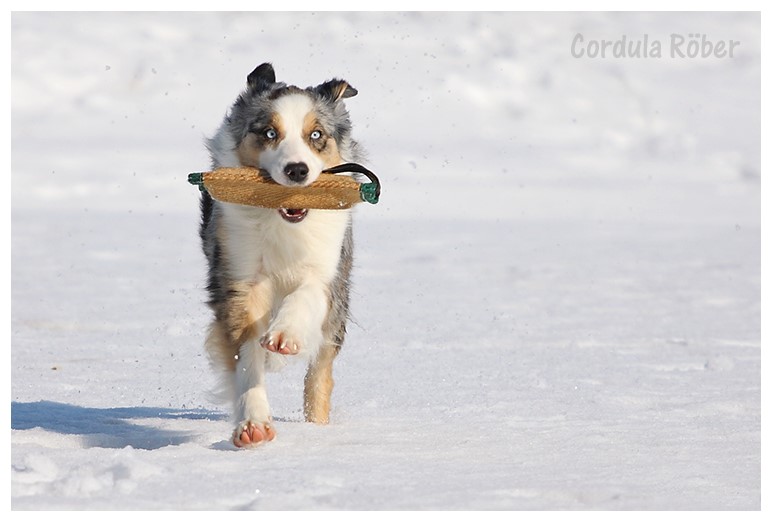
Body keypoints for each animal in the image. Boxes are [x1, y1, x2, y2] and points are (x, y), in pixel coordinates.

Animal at [199, 63, 362, 446]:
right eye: (270, 132)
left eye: (316, 135)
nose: (297, 170)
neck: (281, 220)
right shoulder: (240, 276)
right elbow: (247, 356)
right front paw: (253, 423)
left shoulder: (327, 271)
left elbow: (306, 294)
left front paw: (285, 336)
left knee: (320, 375)